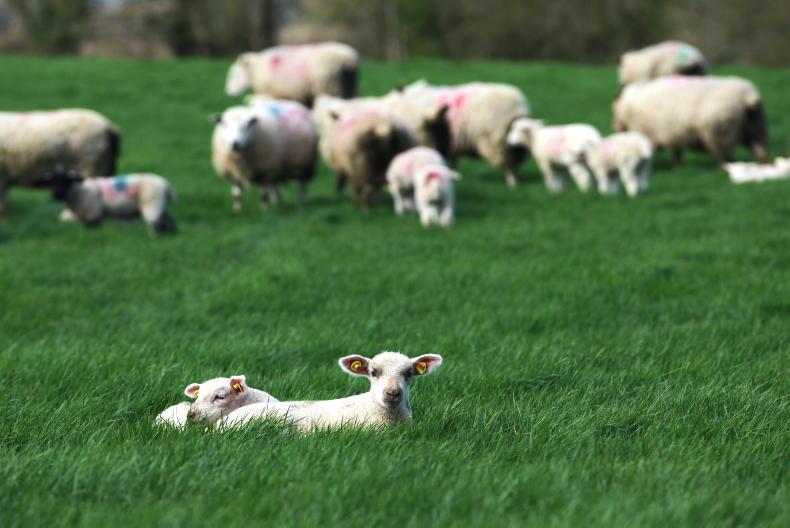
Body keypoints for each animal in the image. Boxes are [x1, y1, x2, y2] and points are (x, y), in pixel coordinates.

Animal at [225, 42, 359, 106]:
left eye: (234, 75)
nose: (229, 95)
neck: (255, 69)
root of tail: (348, 60)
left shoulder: (274, 93)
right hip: (349, 88)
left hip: (329, 87)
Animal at [392, 80, 531, 187]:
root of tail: (520, 108)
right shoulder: (451, 144)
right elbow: (452, 162)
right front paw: (453, 176)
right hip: (511, 143)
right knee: (513, 162)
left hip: (498, 141)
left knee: (509, 163)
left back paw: (512, 182)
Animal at [613, 75, 769, 165]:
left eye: (612, 110)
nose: (614, 128)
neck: (627, 106)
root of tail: (749, 97)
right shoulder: (674, 132)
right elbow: (677, 152)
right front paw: (678, 166)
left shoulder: (647, 133)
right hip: (757, 129)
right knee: (761, 152)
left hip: (720, 132)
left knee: (726, 158)